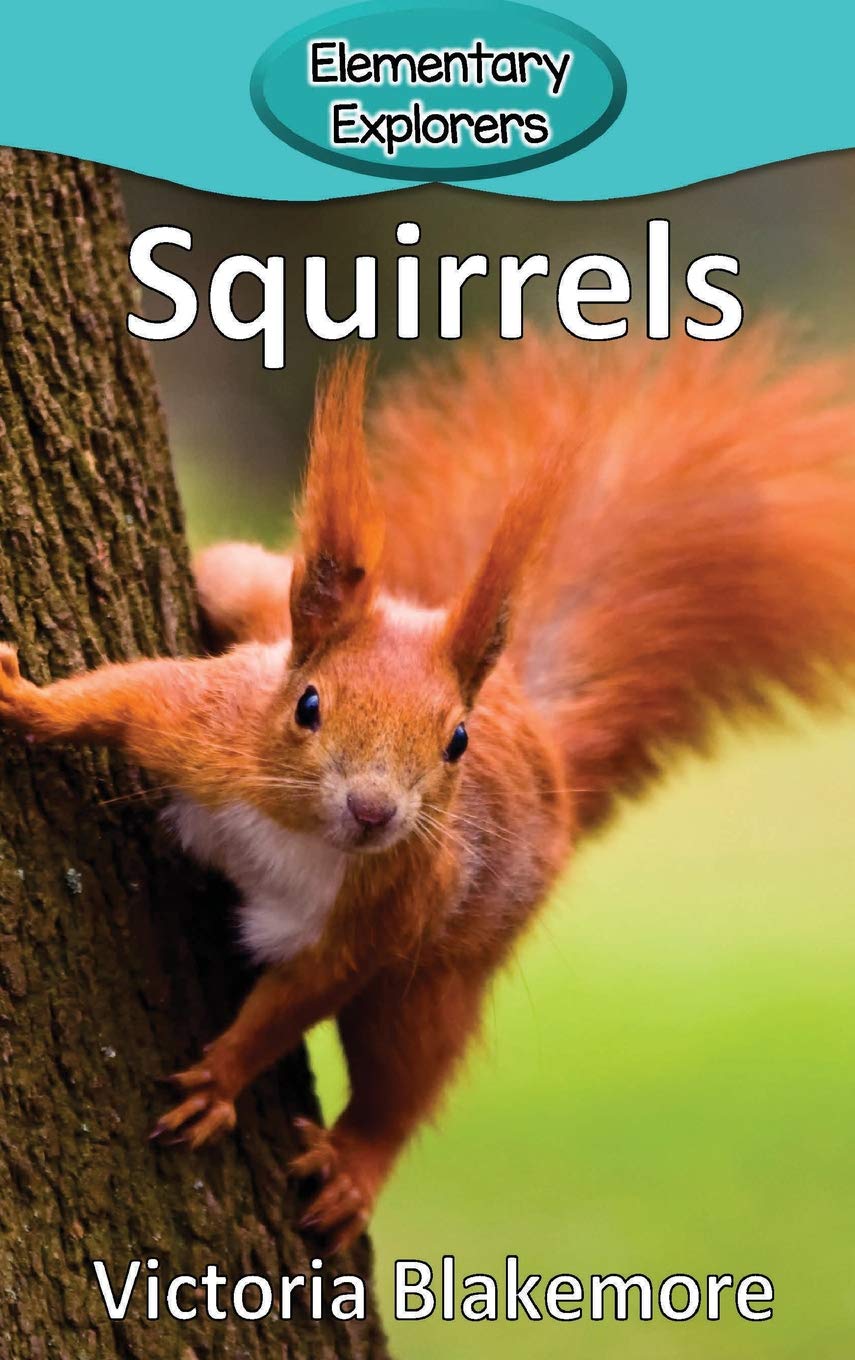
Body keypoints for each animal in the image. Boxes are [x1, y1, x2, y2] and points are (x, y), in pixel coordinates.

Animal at [1, 328, 855, 1253]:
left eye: (456, 743)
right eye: (307, 706)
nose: (374, 811)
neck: (301, 832)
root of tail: (540, 737)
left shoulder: (384, 914)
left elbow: (295, 1000)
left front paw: (221, 1079)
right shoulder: (207, 731)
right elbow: (122, 699)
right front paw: (30, 702)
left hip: (442, 972)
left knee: (404, 1071)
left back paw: (355, 1166)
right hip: (254, 598)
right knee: (236, 577)